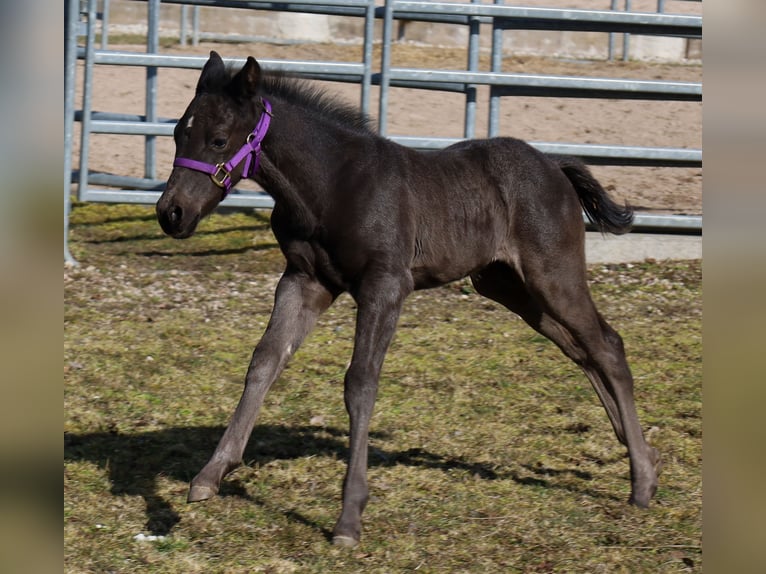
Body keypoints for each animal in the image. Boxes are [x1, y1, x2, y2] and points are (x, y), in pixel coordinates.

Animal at [154, 51, 660, 548]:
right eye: (179, 133)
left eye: (219, 140)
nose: (170, 213)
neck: (332, 186)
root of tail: (556, 166)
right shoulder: (304, 280)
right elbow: (265, 360)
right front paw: (210, 474)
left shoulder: (385, 285)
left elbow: (360, 382)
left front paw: (349, 517)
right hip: (508, 286)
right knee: (580, 349)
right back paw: (639, 454)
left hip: (553, 275)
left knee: (607, 345)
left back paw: (641, 480)